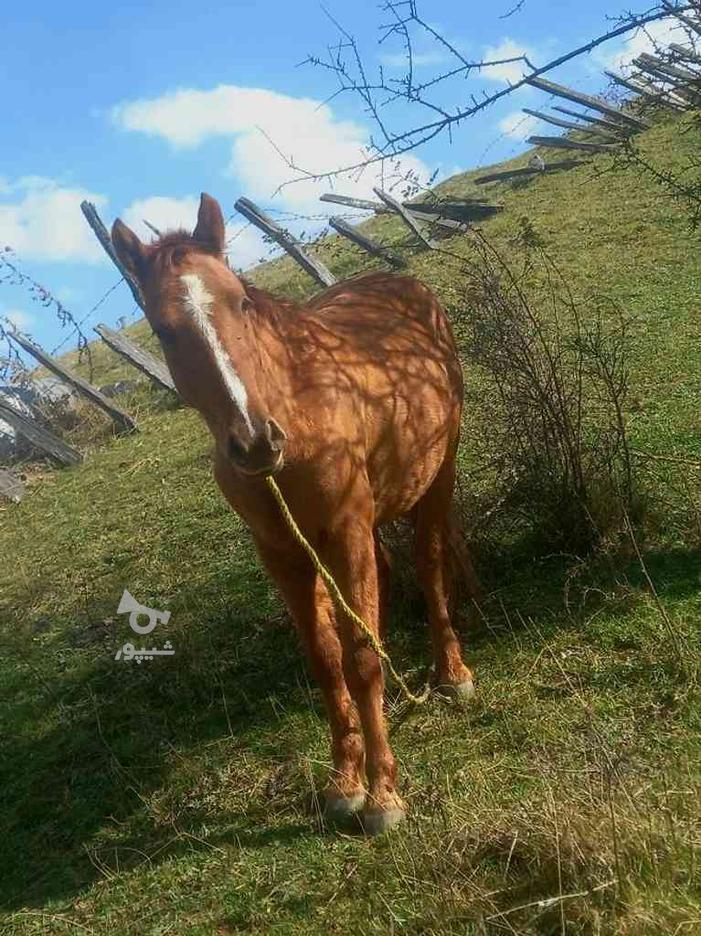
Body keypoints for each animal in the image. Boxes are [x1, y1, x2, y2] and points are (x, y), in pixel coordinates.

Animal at [110, 192, 482, 832]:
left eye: (240, 300)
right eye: (163, 329)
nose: (256, 441)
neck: (300, 415)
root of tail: (403, 285)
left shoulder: (347, 532)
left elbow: (361, 659)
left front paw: (383, 795)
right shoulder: (284, 555)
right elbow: (329, 659)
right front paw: (345, 785)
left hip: (437, 477)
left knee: (431, 565)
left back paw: (451, 673)